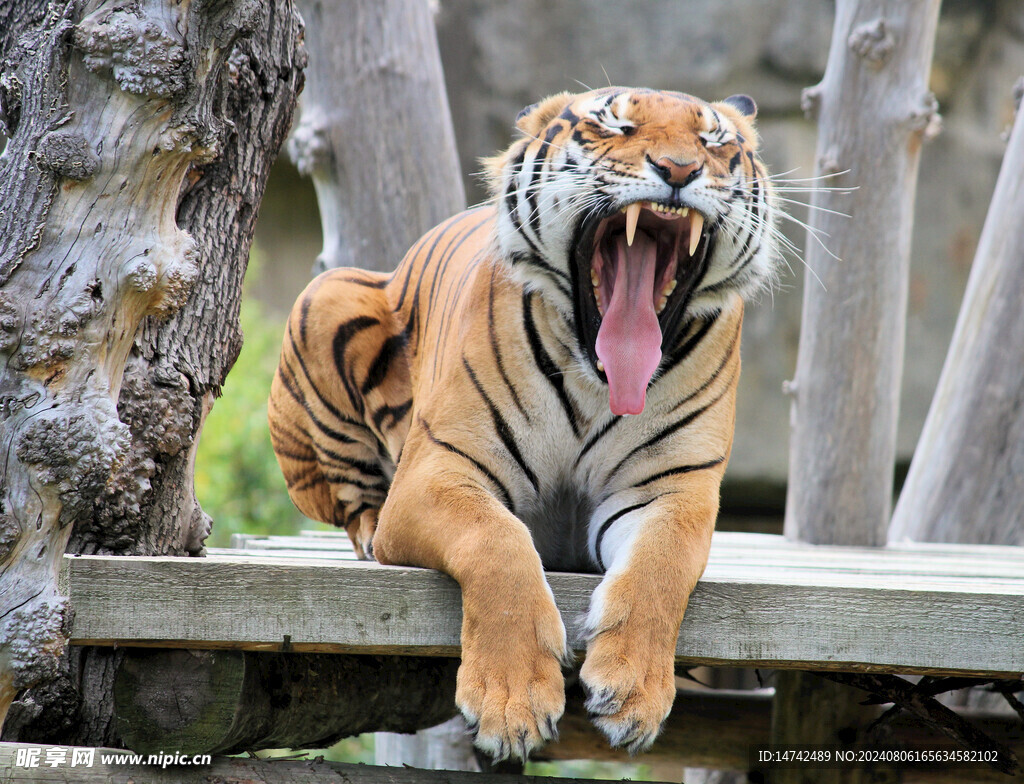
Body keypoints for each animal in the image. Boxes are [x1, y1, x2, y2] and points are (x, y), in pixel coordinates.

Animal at [268, 87, 778, 760]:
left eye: (714, 140)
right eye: (615, 125)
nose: (678, 170)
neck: (597, 381)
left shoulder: (671, 491)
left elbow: (659, 566)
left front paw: (632, 694)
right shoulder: (441, 471)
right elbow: (498, 544)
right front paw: (511, 705)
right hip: (327, 295)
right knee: (353, 503)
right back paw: (373, 534)